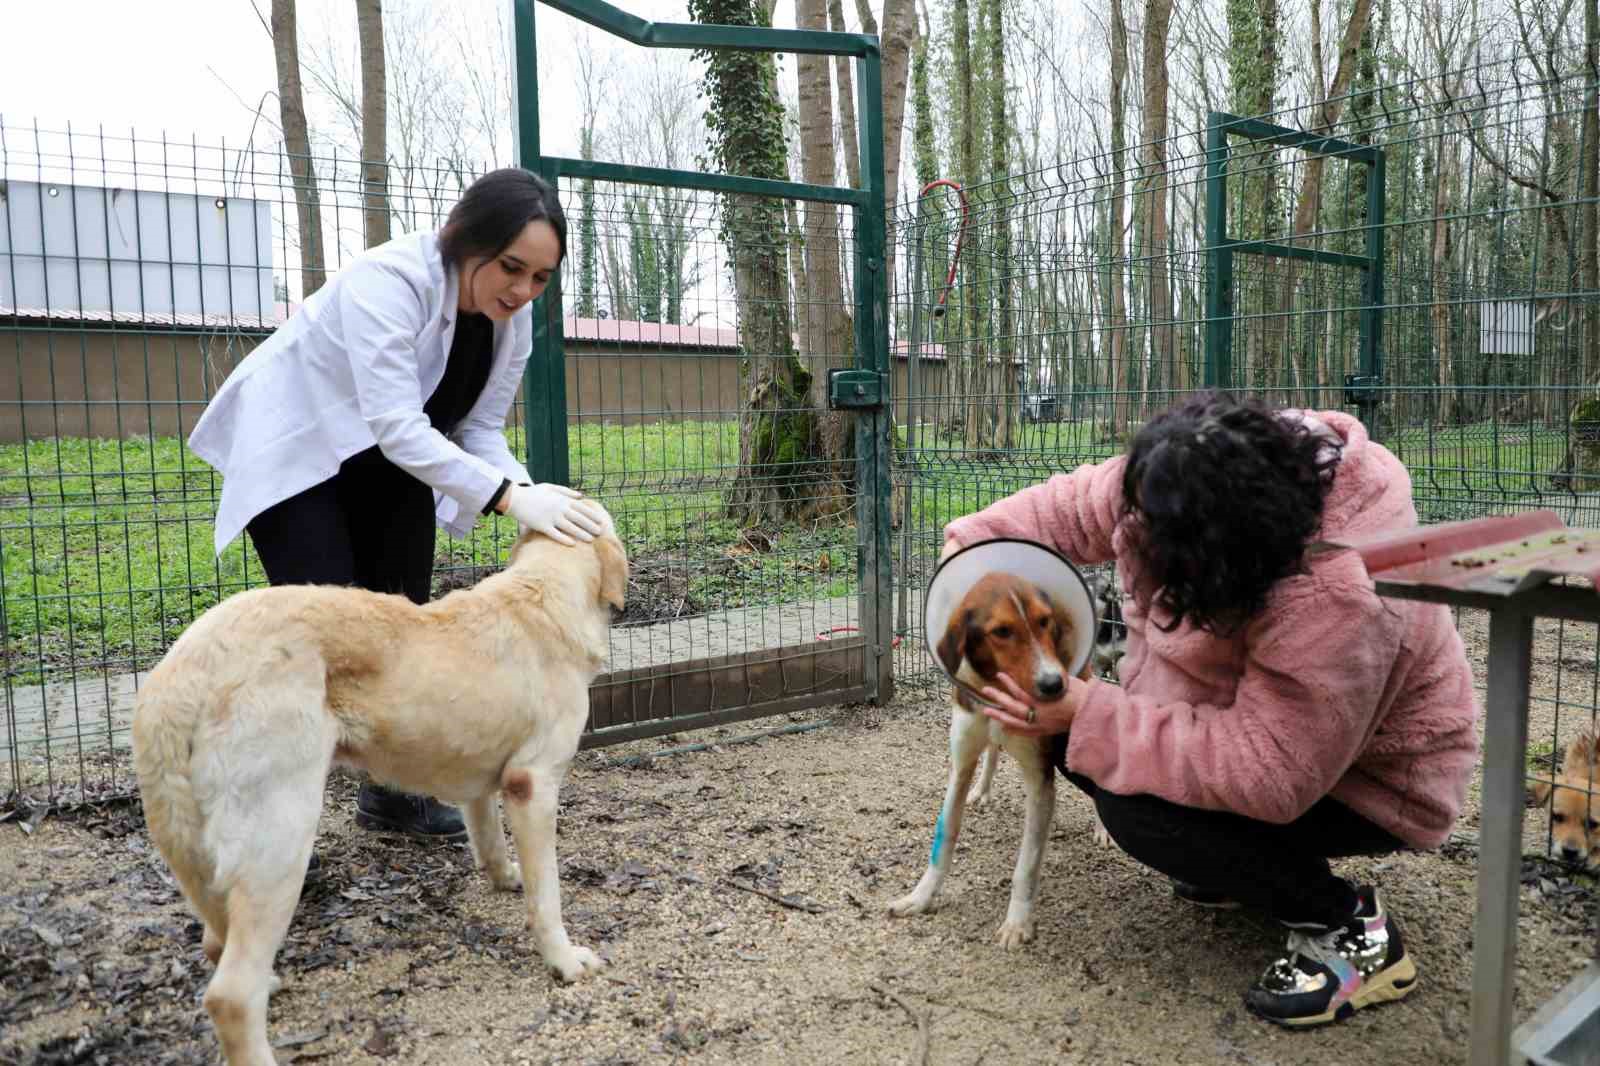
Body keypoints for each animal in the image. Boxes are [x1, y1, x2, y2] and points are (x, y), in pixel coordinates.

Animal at [129, 521, 624, 1062]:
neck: (542, 594)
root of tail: (179, 676)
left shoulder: (482, 777)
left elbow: (488, 834)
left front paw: (505, 876)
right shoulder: (533, 785)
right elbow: (547, 894)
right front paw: (564, 959)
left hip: (205, 858)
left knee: (216, 945)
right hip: (281, 842)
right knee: (230, 994)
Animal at [883, 569, 1094, 941]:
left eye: (1044, 621)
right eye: (1002, 631)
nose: (1055, 685)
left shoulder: (1040, 779)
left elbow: (1027, 864)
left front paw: (1017, 923)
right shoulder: (960, 763)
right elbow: (944, 839)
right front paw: (920, 898)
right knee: (993, 752)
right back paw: (982, 790)